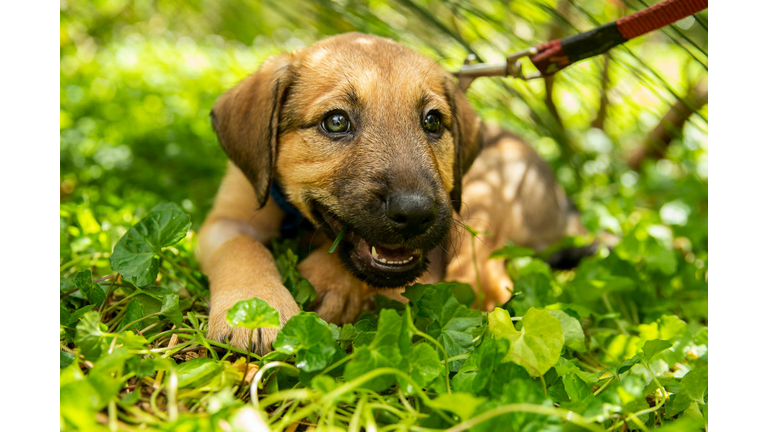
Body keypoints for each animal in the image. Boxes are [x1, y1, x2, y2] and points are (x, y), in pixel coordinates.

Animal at [196, 33, 584, 352]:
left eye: (432, 121)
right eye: (336, 122)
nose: (415, 214)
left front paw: (327, 281)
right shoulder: (226, 220)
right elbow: (243, 248)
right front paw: (257, 308)